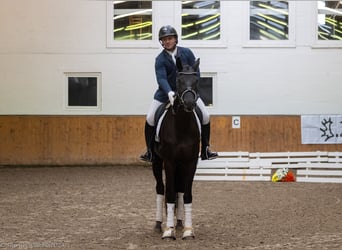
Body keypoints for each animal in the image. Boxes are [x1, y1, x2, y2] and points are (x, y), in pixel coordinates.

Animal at [152, 57, 200, 239]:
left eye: (196, 80)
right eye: (179, 81)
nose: (189, 103)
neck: (182, 126)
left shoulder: (191, 162)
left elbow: (186, 194)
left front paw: (187, 230)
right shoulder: (169, 161)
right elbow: (170, 194)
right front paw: (168, 230)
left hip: (181, 164)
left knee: (179, 189)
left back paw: (179, 223)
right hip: (157, 162)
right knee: (160, 189)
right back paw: (159, 224)